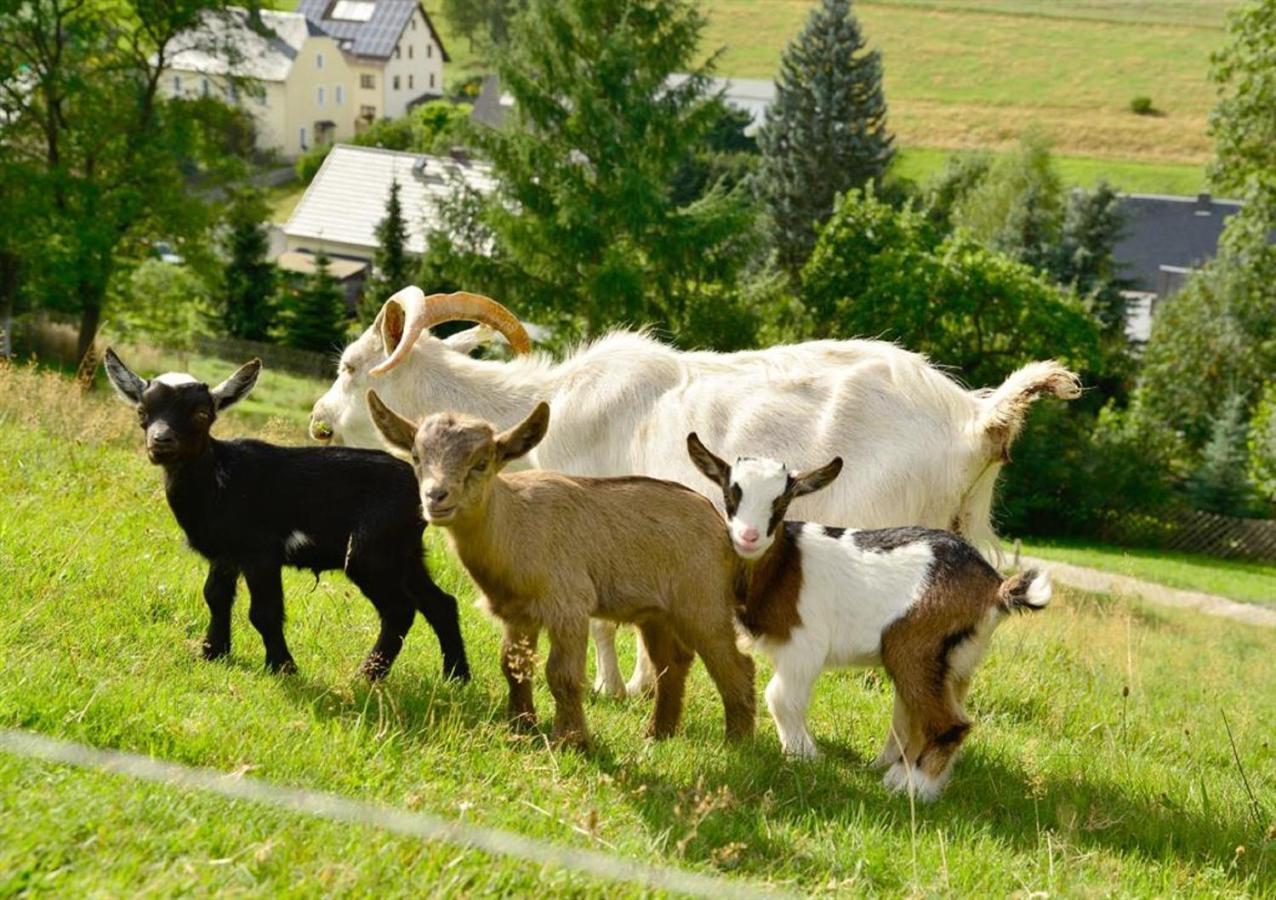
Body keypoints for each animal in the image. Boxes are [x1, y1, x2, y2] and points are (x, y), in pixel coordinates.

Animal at [308, 285, 1076, 694]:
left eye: (349, 366)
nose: (318, 423)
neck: (543, 408)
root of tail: (979, 419)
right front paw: (637, 685)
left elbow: (601, 619)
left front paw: (614, 688)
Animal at [364, 395, 750, 750]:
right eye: (417, 457)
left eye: (482, 462)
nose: (436, 497)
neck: (516, 523)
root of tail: (717, 520)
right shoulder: (517, 612)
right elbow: (513, 666)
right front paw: (521, 727)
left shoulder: (568, 605)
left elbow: (562, 674)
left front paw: (572, 741)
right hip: (655, 614)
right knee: (672, 663)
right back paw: (658, 735)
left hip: (703, 601)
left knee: (735, 663)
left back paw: (737, 744)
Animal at [694, 434, 1051, 801]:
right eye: (730, 495)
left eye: (780, 504)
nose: (749, 537)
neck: (780, 567)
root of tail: (994, 586)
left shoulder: (803, 645)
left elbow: (780, 698)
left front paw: (805, 757)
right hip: (957, 661)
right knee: (915, 715)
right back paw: (900, 773)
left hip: (914, 647)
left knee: (947, 722)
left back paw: (913, 787)